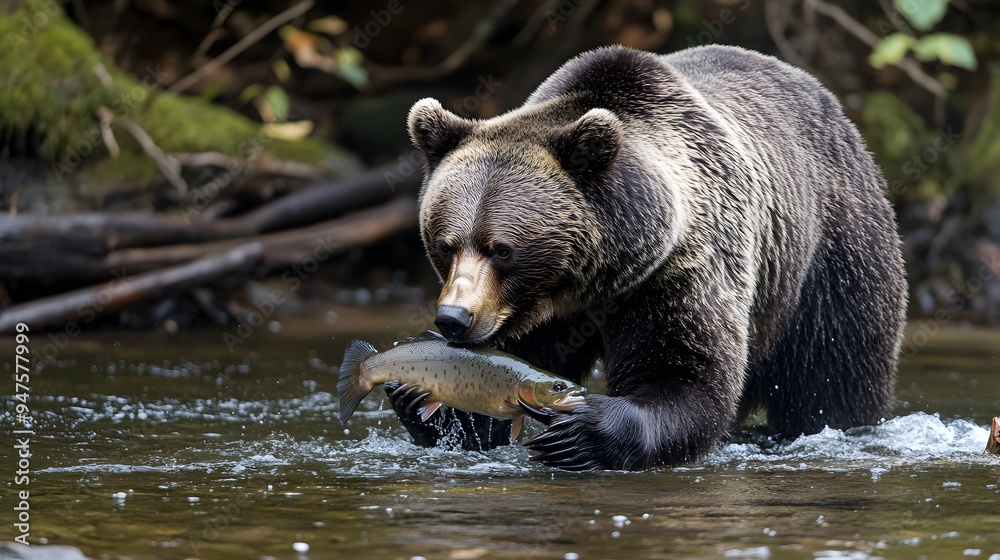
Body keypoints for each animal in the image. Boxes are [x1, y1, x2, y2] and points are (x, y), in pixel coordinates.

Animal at [386, 44, 907, 471]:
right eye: (445, 243)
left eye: (502, 249)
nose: (454, 317)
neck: (592, 280)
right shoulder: (529, 314)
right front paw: (425, 401)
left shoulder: (680, 267)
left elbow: (685, 373)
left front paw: (582, 432)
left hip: (833, 251)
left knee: (834, 371)